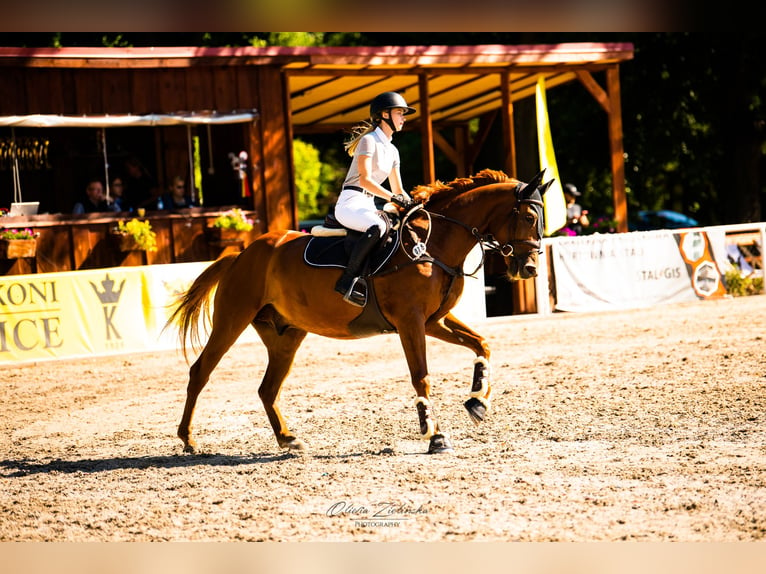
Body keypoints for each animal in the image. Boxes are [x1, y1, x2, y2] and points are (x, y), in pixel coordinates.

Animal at [168, 169, 552, 456]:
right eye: (529, 216)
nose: (530, 269)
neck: (435, 244)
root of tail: (242, 254)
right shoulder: (411, 322)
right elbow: (421, 376)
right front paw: (434, 435)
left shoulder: (434, 321)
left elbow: (482, 344)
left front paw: (477, 402)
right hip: (232, 319)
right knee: (200, 372)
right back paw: (188, 439)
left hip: (286, 335)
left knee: (267, 388)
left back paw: (288, 439)